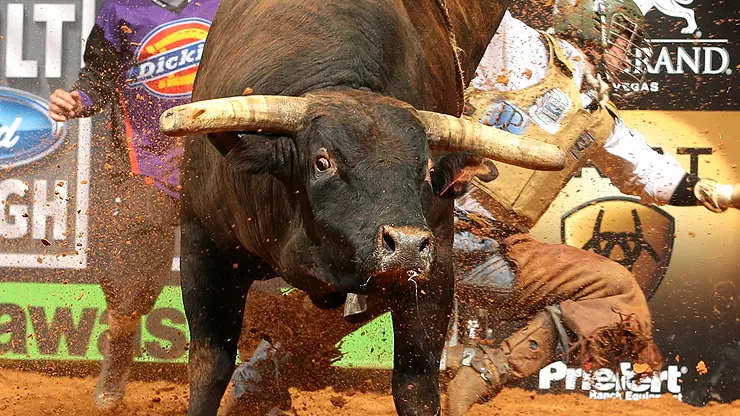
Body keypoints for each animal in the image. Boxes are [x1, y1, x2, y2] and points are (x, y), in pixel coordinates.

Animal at [158, 0, 565, 414]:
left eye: (427, 169)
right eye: (322, 162)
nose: (406, 245)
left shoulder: (434, 270)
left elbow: (416, 384)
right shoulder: (202, 246)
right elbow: (211, 365)